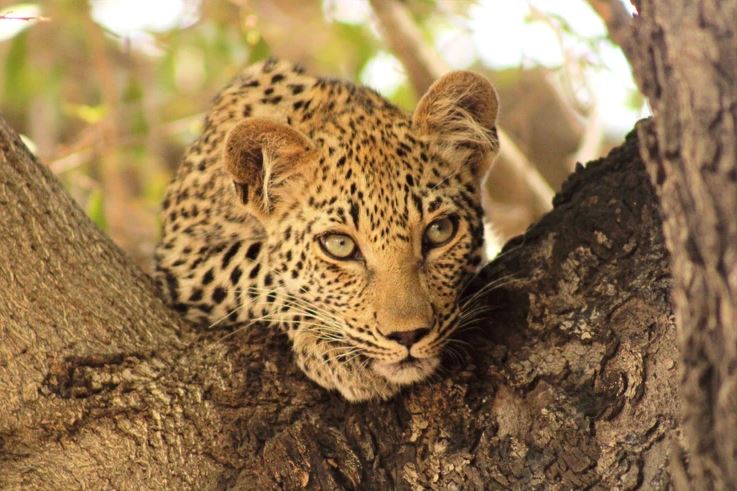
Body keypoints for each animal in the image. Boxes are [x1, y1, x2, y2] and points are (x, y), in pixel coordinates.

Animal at [154, 58, 499, 401]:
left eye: (440, 231)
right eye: (339, 245)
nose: (408, 335)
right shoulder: (181, 255)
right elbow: (259, 268)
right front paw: (332, 347)